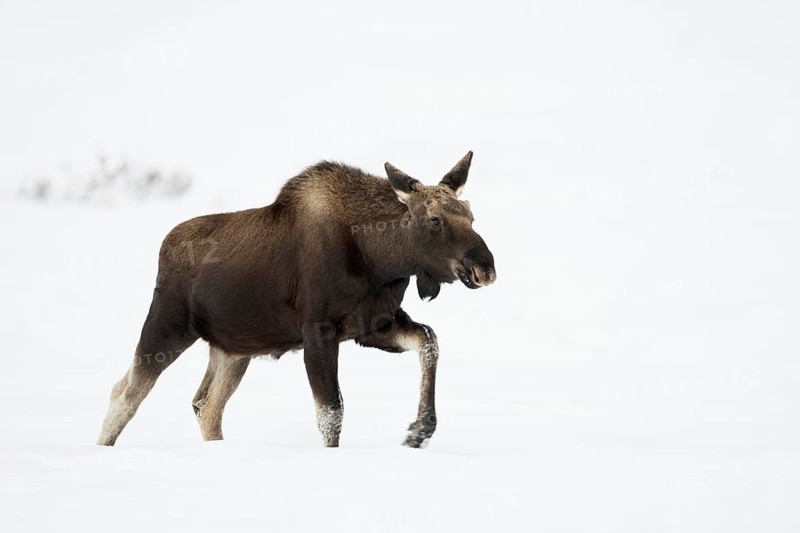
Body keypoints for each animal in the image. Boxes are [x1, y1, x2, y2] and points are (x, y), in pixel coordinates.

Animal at [97, 151, 496, 448]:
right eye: (434, 220)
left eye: (471, 214)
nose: (485, 267)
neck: (381, 259)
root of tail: (165, 246)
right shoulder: (319, 331)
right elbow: (331, 413)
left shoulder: (372, 326)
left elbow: (429, 339)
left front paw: (419, 431)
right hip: (167, 325)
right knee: (126, 393)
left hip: (233, 348)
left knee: (205, 405)